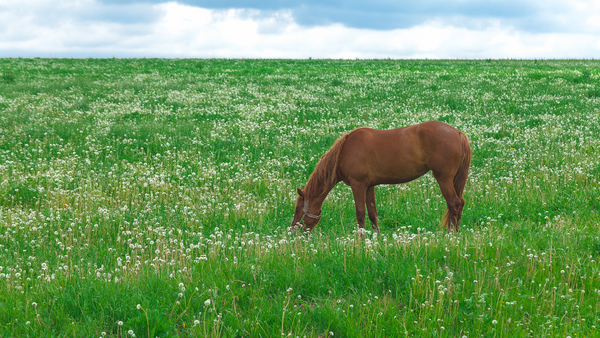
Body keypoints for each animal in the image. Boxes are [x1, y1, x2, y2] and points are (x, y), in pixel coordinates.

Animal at [288, 121, 472, 232]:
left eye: (297, 209)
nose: (292, 231)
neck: (345, 150)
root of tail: (458, 133)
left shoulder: (358, 185)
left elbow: (360, 213)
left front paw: (361, 242)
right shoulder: (369, 186)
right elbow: (372, 213)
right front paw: (375, 239)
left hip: (444, 178)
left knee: (454, 203)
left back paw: (450, 235)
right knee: (460, 203)